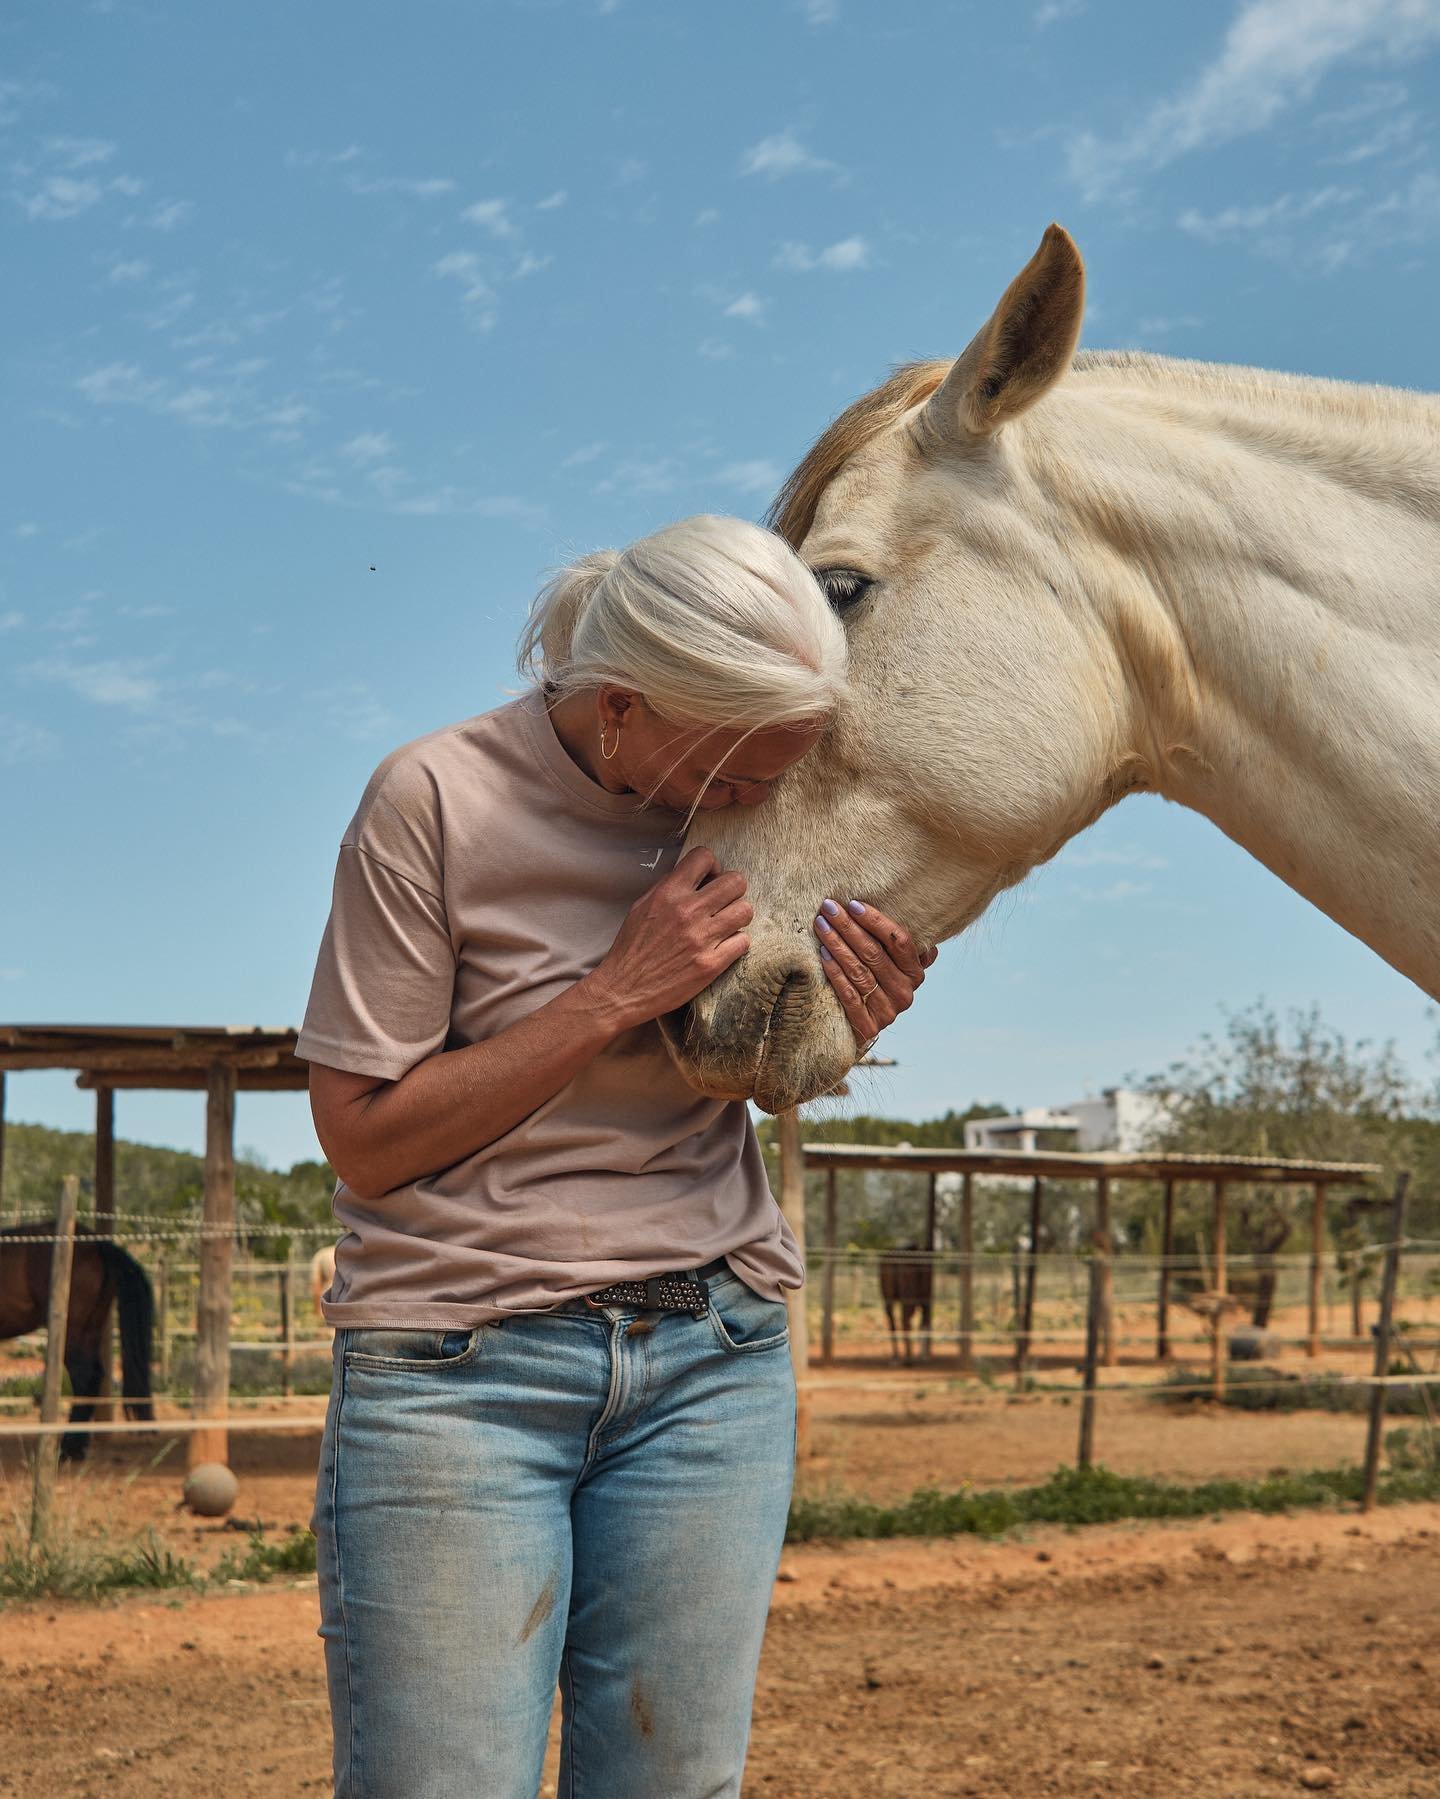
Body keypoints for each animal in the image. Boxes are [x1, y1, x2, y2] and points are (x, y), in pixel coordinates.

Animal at [0, 1225, 155, 1460]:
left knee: (83, 1377)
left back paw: (69, 1448)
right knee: (94, 1377)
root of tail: (98, 1243)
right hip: (89, 1330)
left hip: (73, 1333)